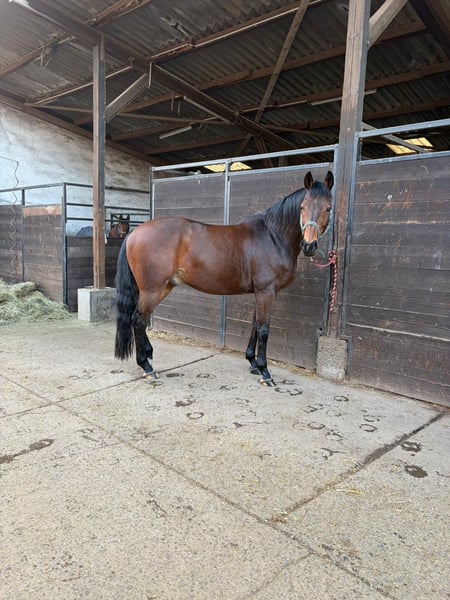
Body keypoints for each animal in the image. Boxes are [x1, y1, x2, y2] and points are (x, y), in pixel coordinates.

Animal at [114, 171, 334, 386]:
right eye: (302, 207)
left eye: (328, 208)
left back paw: (149, 357)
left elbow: (255, 325)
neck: (273, 237)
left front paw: (253, 363)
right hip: (152, 289)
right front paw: (265, 372)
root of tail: (135, 232)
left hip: (162, 287)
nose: (309, 246)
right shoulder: (266, 291)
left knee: (141, 319)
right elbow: (264, 329)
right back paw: (147, 367)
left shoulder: (261, 293)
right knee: (138, 320)